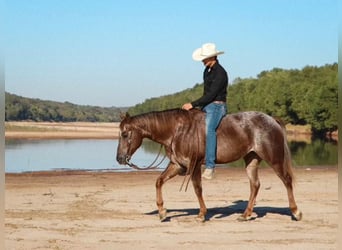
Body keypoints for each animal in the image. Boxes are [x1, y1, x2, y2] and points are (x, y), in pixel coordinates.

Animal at [117, 108, 302, 222]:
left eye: (125, 134)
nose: (119, 158)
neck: (177, 131)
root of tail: (271, 120)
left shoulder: (195, 164)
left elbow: (197, 188)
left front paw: (201, 214)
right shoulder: (177, 165)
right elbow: (159, 181)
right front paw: (162, 212)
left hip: (274, 159)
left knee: (287, 180)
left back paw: (295, 212)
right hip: (251, 159)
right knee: (255, 185)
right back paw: (246, 214)